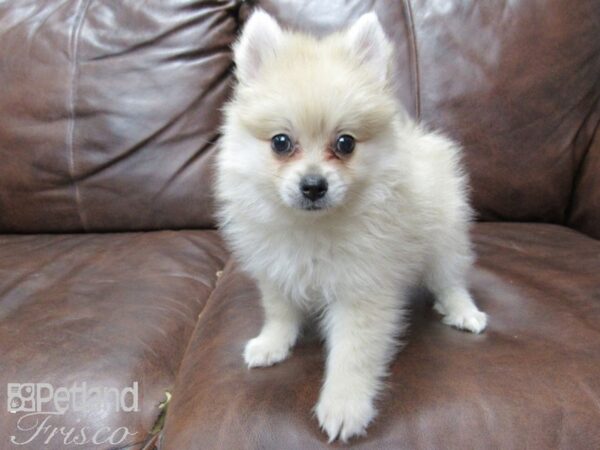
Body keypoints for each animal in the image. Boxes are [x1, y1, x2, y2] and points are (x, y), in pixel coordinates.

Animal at [216, 9, 488, 442]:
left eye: (345, 143)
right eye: (280, 142)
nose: (313, 185)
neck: (313, 228)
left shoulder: (363, 291)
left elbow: (352, 355)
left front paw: (344, 407)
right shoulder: (276, 270)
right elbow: (280, 312)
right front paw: (272, 343)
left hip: (445, 240)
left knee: (450, 279)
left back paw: (463, 312)